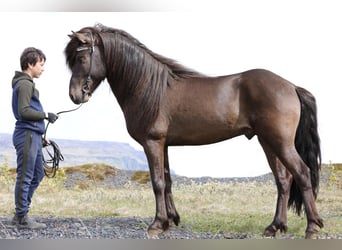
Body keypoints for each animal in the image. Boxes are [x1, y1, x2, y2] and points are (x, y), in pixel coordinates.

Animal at [64, 23, 324, 238]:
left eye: (81, 57)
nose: (75, 95)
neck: (148, 86)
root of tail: (291, 86)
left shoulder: (152, 142)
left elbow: (157, 182)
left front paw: (156, 225)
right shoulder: (164, 144)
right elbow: (167, 181)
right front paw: (170, 221)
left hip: (280, 141)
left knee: (302, 173)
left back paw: (311, 227)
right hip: (268, 142)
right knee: (283, 180)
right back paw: (275, 227)